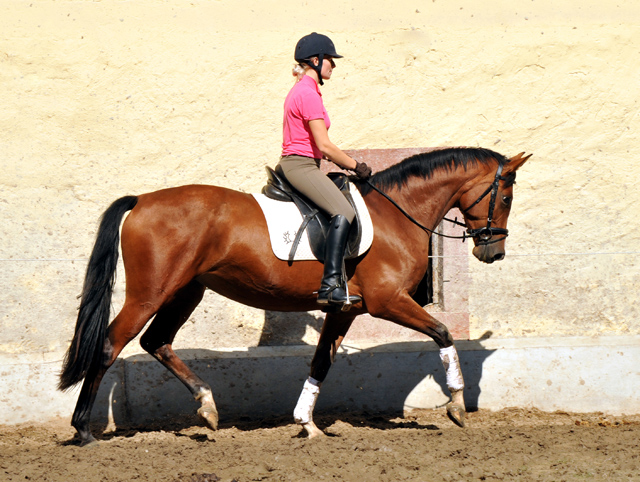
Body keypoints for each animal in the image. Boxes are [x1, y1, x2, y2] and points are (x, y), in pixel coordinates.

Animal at [60, 146, 528, 444]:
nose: (494, 252)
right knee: (110, 345)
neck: (394, 214)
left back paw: (207, 407)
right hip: (151, 292)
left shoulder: (345, 310)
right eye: (505, 196)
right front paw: (456, 405)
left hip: (186, 290)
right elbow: (444, 334)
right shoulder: (388, 301)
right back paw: (83, 429)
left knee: (156, 341)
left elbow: (321, 362)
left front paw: (307, 423)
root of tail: (141, 201)